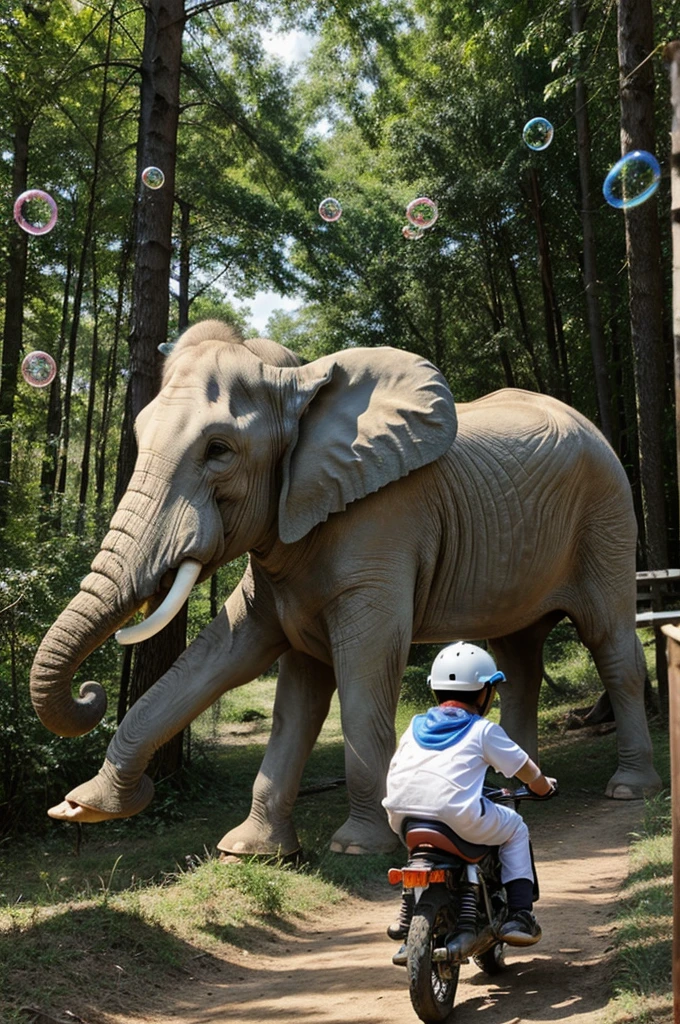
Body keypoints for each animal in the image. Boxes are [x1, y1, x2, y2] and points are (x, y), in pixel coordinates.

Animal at [29, 319, 659, 856]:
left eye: (218, 450)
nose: (90, 691)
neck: (302, 389)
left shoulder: (380, 526)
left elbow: (362, 672)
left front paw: (358, 846)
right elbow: (249, 665)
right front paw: (239, 849)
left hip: (607, 517)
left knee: (610, 642)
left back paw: (629, 788)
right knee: (519, 655)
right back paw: (514, 792)